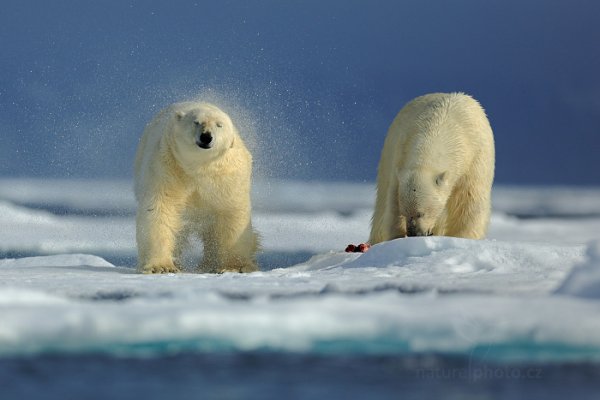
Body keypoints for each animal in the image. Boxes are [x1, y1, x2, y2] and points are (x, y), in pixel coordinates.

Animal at [135, 101, 258, 274]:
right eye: (196, 122)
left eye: (219, 125)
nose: (206, 136)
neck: (198, 168)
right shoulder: (166, 168)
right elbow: (160, 209)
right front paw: (162, 267)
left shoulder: (228, 176)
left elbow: (232, 213)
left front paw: (235, 267)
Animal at [370, 93, 496, 244]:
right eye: (405, 212)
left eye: (420, 213)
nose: (414, 233)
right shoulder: (401, 154)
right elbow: (393, 201)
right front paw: (397, 237)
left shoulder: (475, 158)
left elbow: (469, 201)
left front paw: (462, 237)